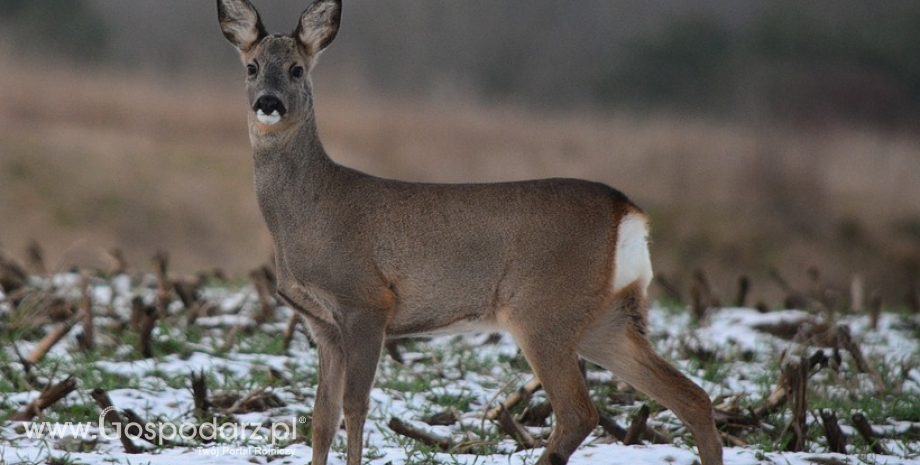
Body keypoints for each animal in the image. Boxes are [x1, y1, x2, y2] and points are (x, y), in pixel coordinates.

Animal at [217, 0, 724, 464]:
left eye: (298, 69)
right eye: (252, 67)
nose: (268, 103)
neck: (308, 216)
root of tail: (630, 212)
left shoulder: (365, 302)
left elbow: (354, 406)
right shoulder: (321, 322)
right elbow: (321, 416)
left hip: (543, 309)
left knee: (580, 412)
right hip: (607, 316)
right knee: (692, 396)